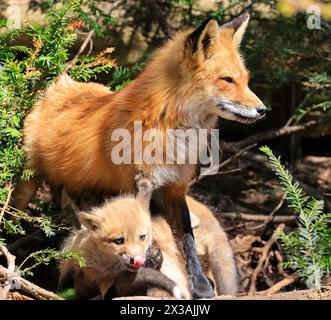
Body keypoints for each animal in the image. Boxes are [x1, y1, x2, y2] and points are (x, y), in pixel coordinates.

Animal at [15, 11, 266, 298]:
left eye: (245, 80)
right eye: (227, 80)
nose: (263, 110)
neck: (171, 131)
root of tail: (65, 83)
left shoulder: (175, 187)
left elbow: (187, 240)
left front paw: (200, 285)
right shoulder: (137, 184)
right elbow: (145, 230)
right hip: (28, 183)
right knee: (14, 216)